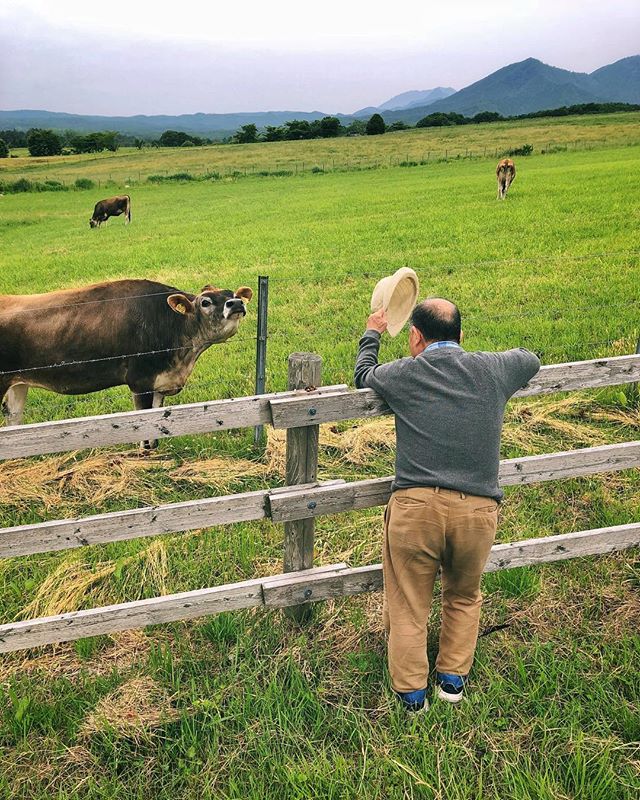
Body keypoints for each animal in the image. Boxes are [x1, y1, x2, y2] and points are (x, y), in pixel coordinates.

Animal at [1, 278, 254, 446]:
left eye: (233, 294)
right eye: (205, 302)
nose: (235, 303)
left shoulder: (160, 382)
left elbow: (157, 418)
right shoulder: (140, 381)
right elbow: (143, 421)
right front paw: (145, 452)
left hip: (18, 384)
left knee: (13, 420)